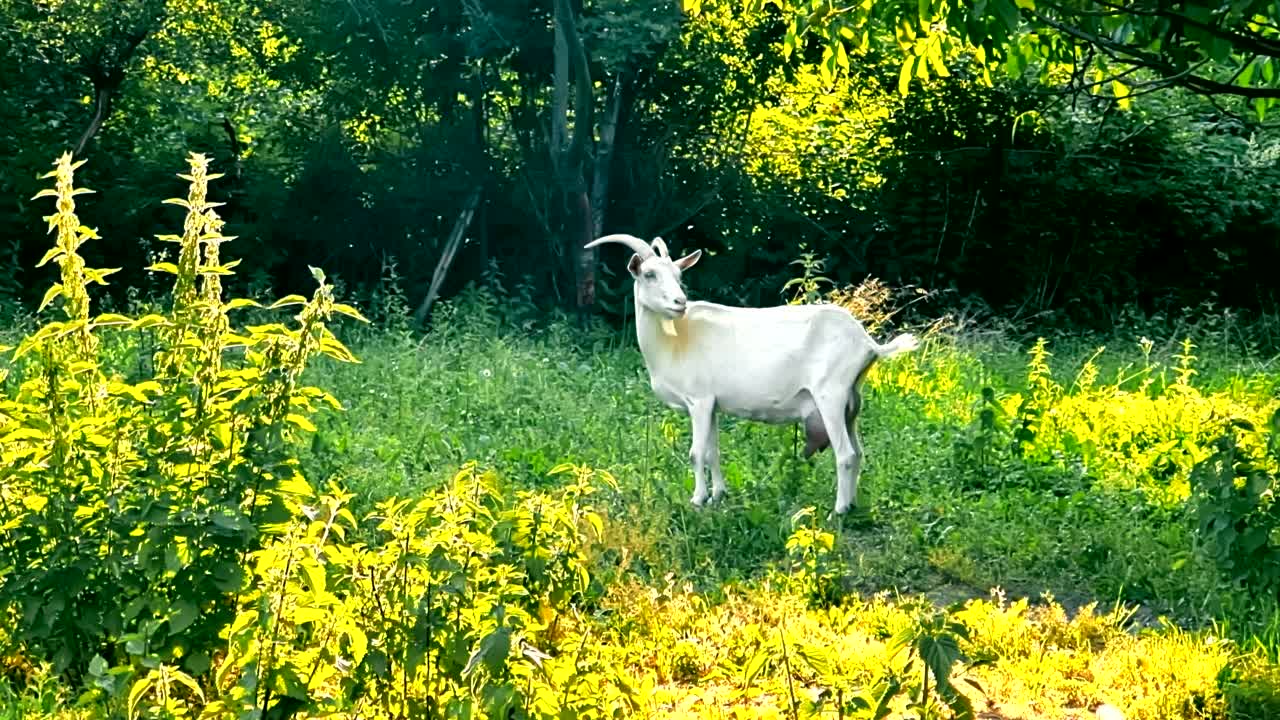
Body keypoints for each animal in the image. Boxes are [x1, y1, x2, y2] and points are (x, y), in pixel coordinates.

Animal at [586, 233, 916, 512]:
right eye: (650, 275)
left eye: (679, 276)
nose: (680, 302)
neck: (676, 339)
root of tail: (868, 343)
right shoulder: (712, 405)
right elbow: (713, 451)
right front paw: (718, 495)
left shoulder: (699, 401)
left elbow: (696, 452)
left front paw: (697, 499)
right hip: (852, 403)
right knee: (858, 453)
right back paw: (853, 504)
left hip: (830, 397)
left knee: (845, 454)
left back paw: (839, 511)